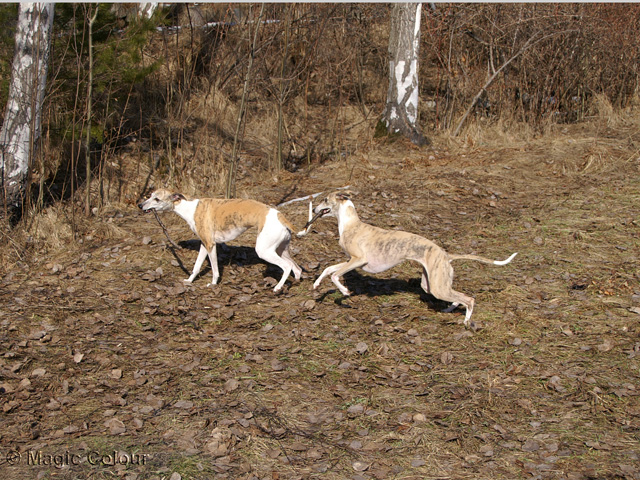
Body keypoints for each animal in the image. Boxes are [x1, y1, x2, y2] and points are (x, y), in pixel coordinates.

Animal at [138, 188, 302, 292]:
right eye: (150, 195)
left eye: (157, 199)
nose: (139, 205)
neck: (189, 207)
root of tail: (280, 215)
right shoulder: (204, 244)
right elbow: (196, 266)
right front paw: (189, 281)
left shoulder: (211, 245)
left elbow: (215, 269)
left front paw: (212, 284)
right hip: (281, 249)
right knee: (296, 268)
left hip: (264, 251)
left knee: (287, 267)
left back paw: (278, 287)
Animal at [308, 191, 517, 327]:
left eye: (325, 199)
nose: (315, 208)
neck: (350, 223)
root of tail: (446, 255)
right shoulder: (350, 260)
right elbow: (328, 269)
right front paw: (316, 285)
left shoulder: (358, 260)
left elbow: (335, 275)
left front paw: (344, 291)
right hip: (431, 284)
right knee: (457, 298)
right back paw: (449, 310)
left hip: (437, 286)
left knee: (469, 299)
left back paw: (466, 321)